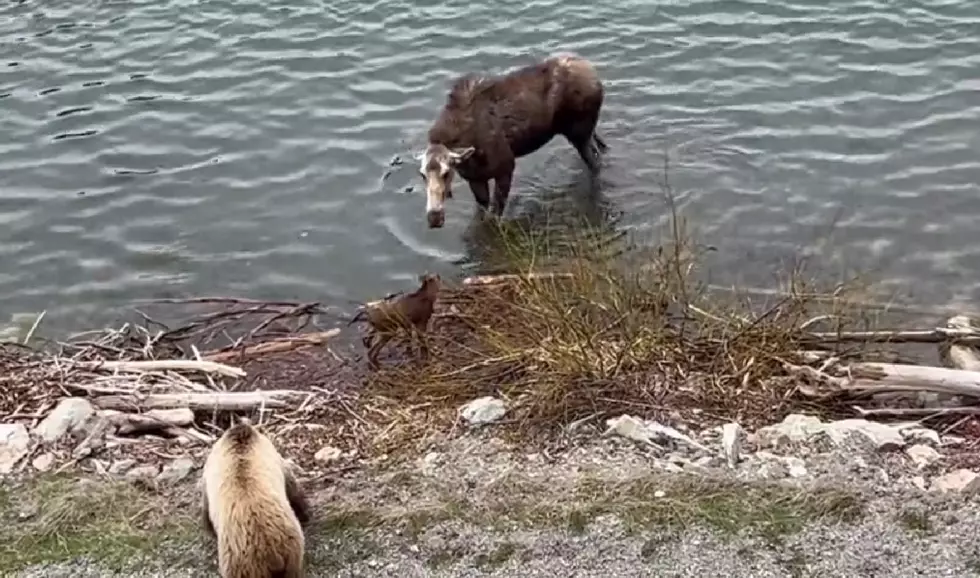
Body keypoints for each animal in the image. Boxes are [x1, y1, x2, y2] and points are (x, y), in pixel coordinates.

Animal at [418, 54, 608, 228]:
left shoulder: (506, 167)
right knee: (599, 147)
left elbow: (496, 213)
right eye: (422, 175)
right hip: (586, 132)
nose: (434, 217)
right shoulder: (475, 179)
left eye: (446, 172)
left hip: (578, 133)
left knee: (596, 163)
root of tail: (594, 72)